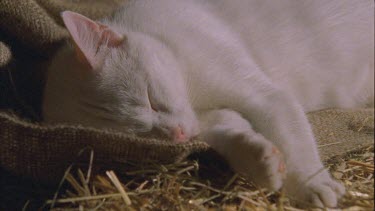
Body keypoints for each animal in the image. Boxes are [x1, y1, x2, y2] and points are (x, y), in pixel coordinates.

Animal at [42, 0, 374, 208]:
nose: (177, 135)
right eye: (136, 134)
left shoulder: (268, 97)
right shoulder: (209, 122)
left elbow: (294, 142)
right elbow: (233, 136)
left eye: (150, 99)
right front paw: (261, 162)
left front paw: (309, 183)